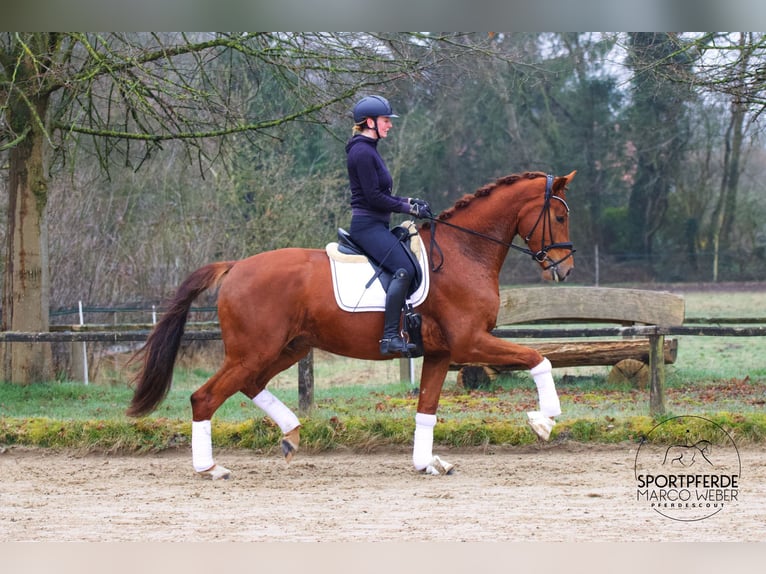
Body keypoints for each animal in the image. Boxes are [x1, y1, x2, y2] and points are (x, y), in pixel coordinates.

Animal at [127, 170, 577, 479]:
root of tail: (236, 266)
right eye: (558, 216)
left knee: (249, 385)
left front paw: (427, 462)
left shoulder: (441, 353)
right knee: (204, 398)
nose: (565, 268)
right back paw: (211, 468)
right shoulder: (470, 343)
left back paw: (290, 434)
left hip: (288, 348)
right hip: (253, 350)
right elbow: (537, 358)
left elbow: (426, 409)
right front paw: (544, 421)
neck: (464, 252)